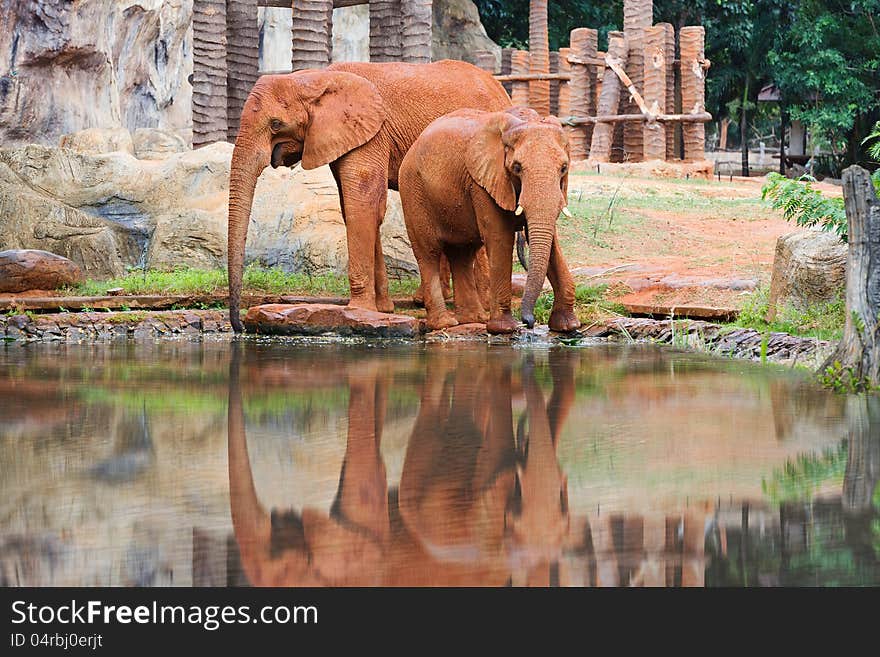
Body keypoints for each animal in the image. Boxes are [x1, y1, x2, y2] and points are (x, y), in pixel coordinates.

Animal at [229, 61, 508, 330]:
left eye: (276, 124)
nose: (239, 326)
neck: (316, 77)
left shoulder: (372, 134)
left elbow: (361, 205)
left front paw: (359, 309)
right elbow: (358, 209)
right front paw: (382, 309)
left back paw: (482, 308)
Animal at [398, 108, 576, 336]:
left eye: (563, 168)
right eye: (517, 167)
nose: (529, 321)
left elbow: (551, 242)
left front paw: (568, 326)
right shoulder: (482, 183)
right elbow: (500, 238)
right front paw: (504, 329)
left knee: (462, 253)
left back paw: (474, 319)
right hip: (413, 191)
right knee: (429, 252)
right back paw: (445, 324)